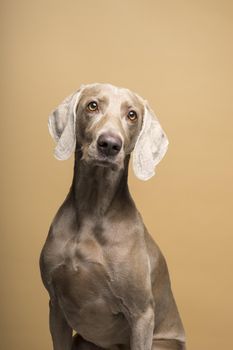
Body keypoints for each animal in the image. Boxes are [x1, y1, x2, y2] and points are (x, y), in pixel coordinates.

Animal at [39, 82, 186, 350]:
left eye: (132, 115)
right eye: (92, 105)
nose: (109, 144)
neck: (93, 208)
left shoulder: (141, 314)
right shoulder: (55, 306)